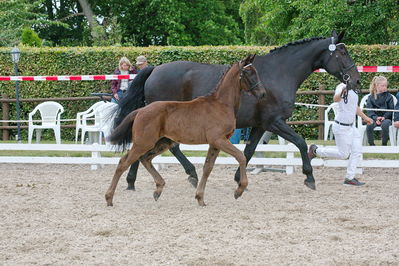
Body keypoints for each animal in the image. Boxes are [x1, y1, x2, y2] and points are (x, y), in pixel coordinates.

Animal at [105, 55, 266, 207]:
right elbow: (241, 156)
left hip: (162, 142)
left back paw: (158, 189)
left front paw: (200, 198)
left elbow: (208, 168)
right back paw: (109, 198)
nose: (263, 94)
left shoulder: (214, 144)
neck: (221, 104)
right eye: (247, 72)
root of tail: (140, 110)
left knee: (145, 158)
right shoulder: (219, 140)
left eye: (256, 72)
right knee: (124, 162)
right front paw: (239, 190)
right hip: (143, 143)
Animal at [114, 30, 360, 190]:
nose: (356, 80)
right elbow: (300, 142)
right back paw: (184, 175)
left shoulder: (260, 125)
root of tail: (154, 70)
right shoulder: (274, 122)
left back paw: (134, 181)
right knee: (162, 147)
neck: (279, 72)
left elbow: (249, 151)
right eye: (342, 53)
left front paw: (237, 178)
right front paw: (309, 177)